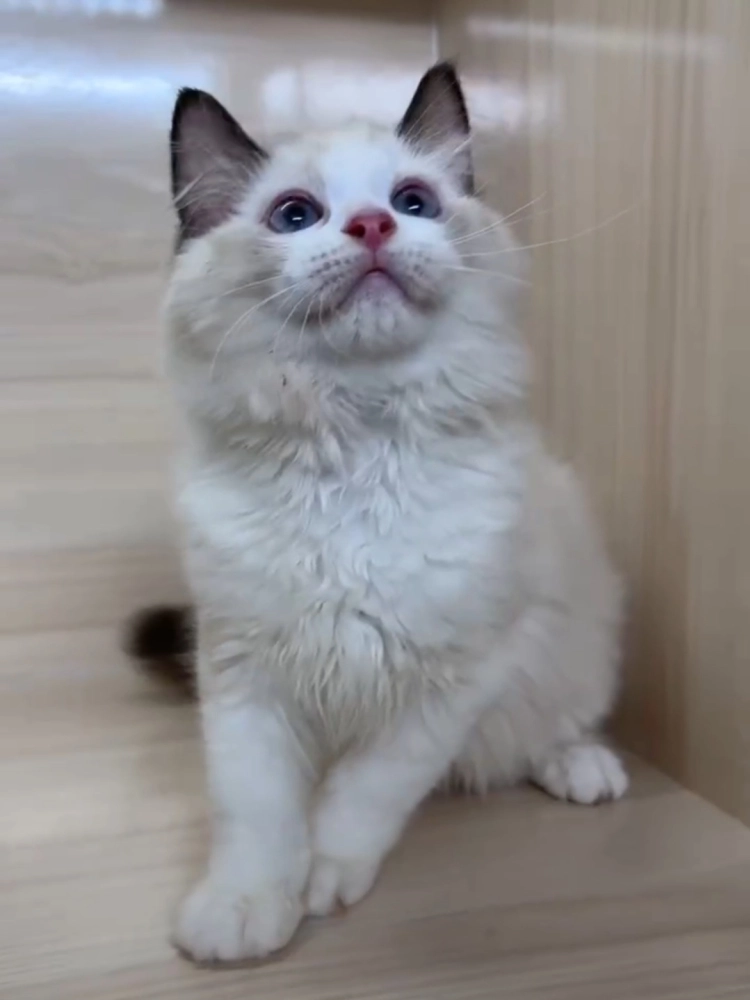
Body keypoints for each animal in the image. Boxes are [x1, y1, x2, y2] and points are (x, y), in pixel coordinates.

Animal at [132, 62, 627, 964]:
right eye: (295, 215)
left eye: (414, 202)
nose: (371, 226)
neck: (355, 446)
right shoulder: (241, 672)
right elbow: (256, 812)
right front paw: (248, 907)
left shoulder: (458, 677)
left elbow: (363, 796)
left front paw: (323, 883)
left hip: (572, 642)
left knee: (543, 730)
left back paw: (583, 768)